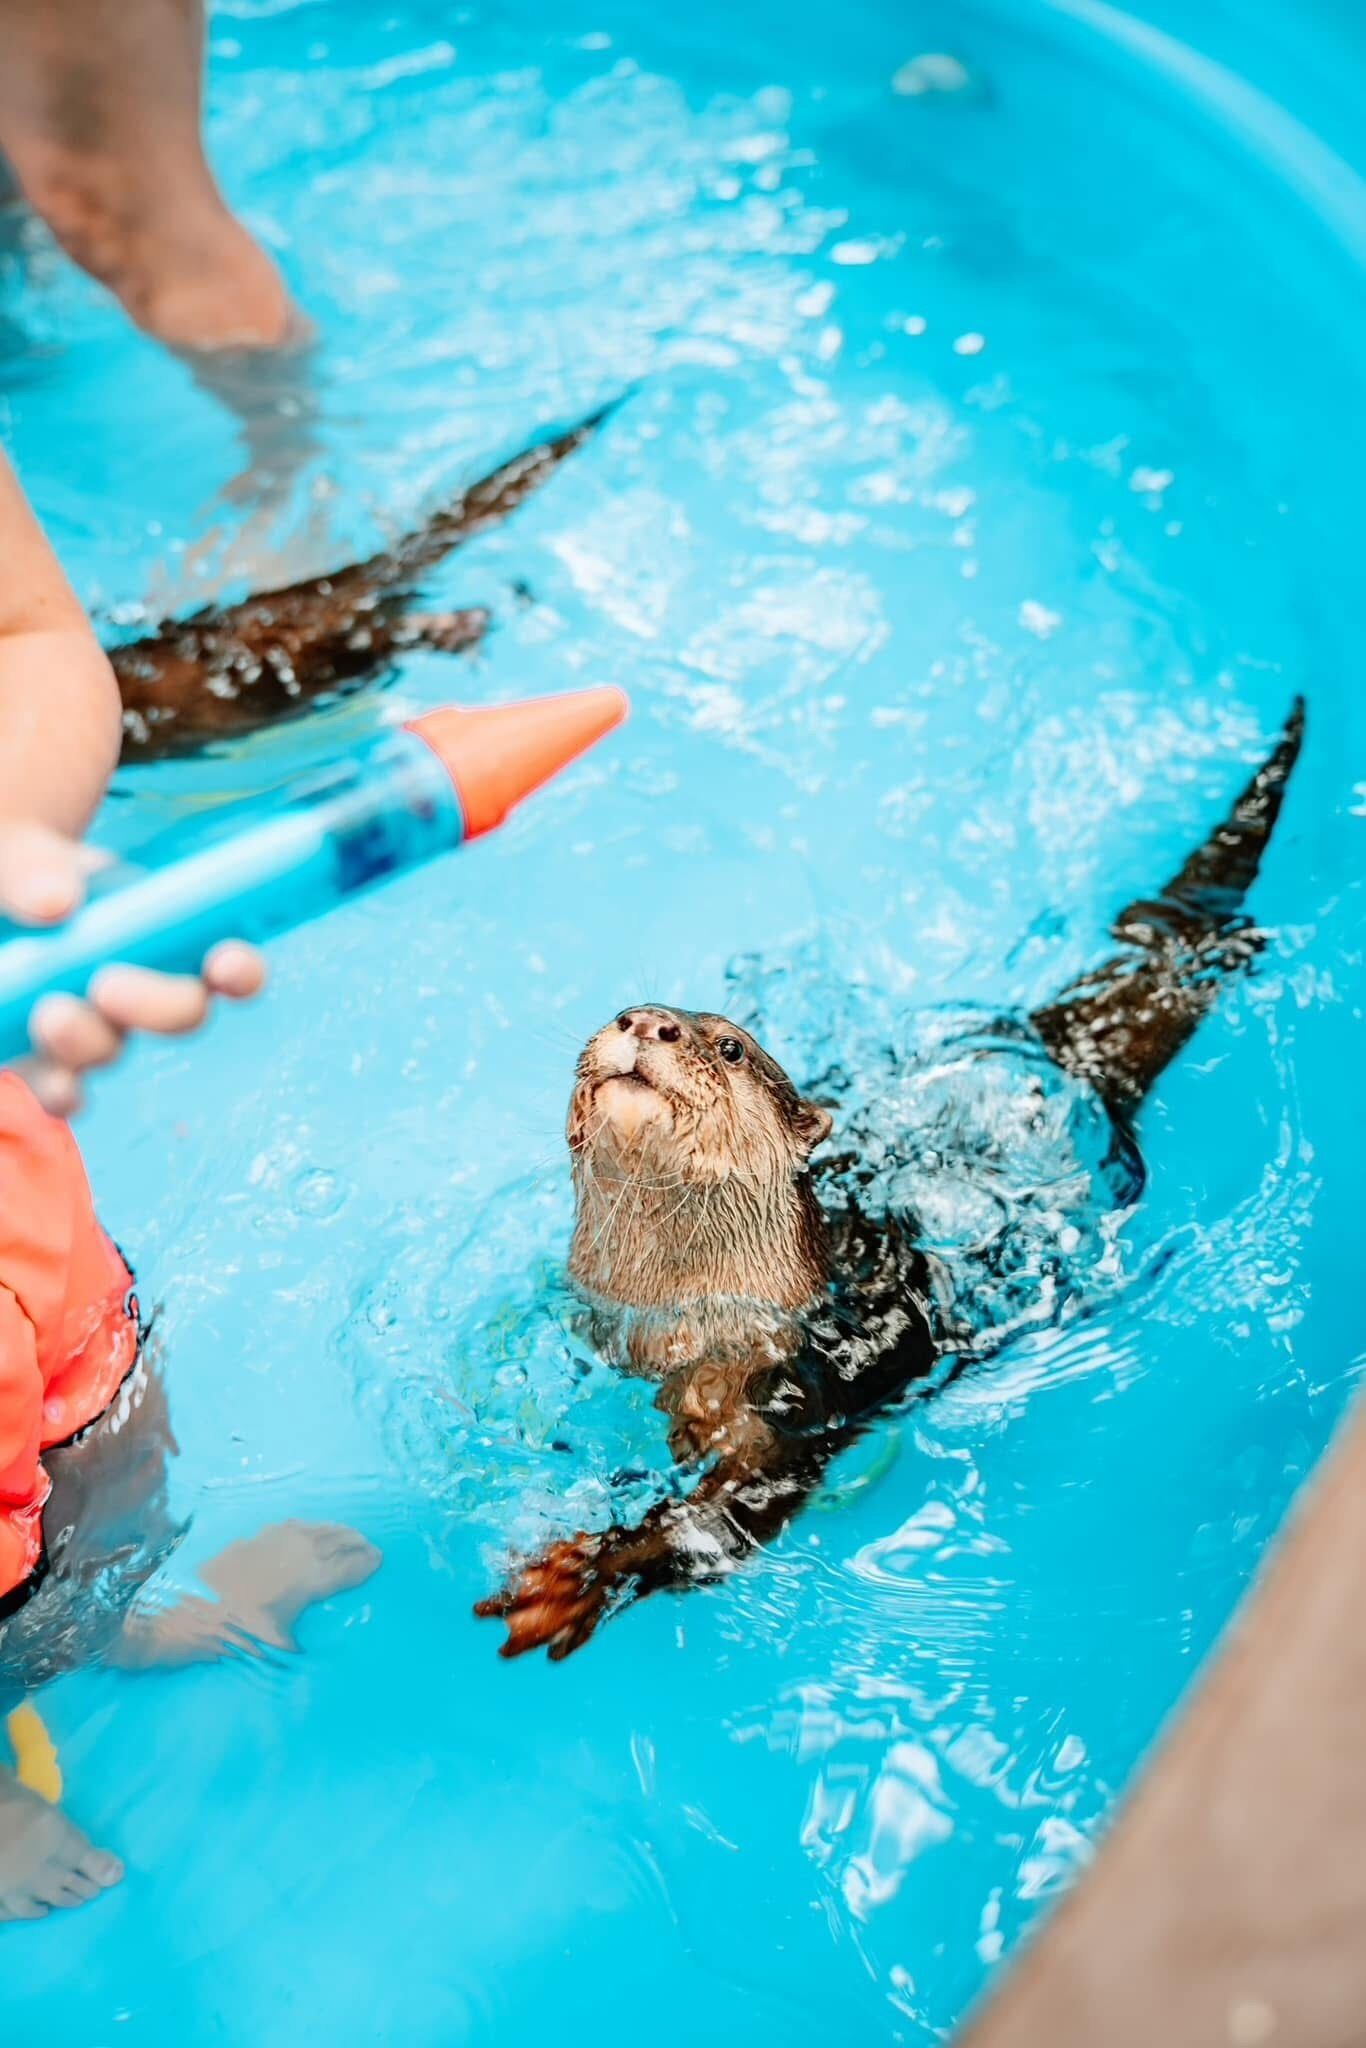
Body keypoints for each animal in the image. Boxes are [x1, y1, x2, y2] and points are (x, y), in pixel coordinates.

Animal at [476, 701, 1306, 1659]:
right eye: (624, 1012)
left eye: (730, 1046)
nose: (647, 1022)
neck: (681, 1313)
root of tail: (1054, 1049)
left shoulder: (786, 1394)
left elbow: (729, 1517)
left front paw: (584, 1574)